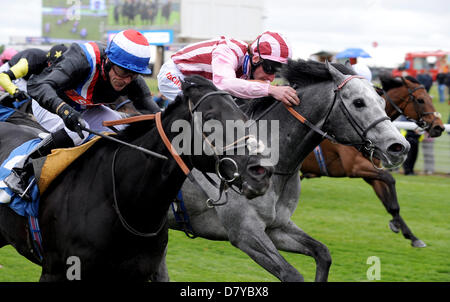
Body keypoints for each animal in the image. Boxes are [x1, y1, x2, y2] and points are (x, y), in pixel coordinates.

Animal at [163, 59, 412, 284]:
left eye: (381, 100)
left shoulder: (278, 227)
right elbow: (292, 274)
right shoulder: (245, 233)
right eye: (359, 102)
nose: (399, 147)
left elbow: (323, 253)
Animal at [300, 75, 444, 245]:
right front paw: (397, 224)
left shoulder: (370, 173)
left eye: (430, 98)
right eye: (421, 100)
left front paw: (410, 235)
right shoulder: (355, 167)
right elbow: (390, 179)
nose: (439, 127)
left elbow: (388, 201)